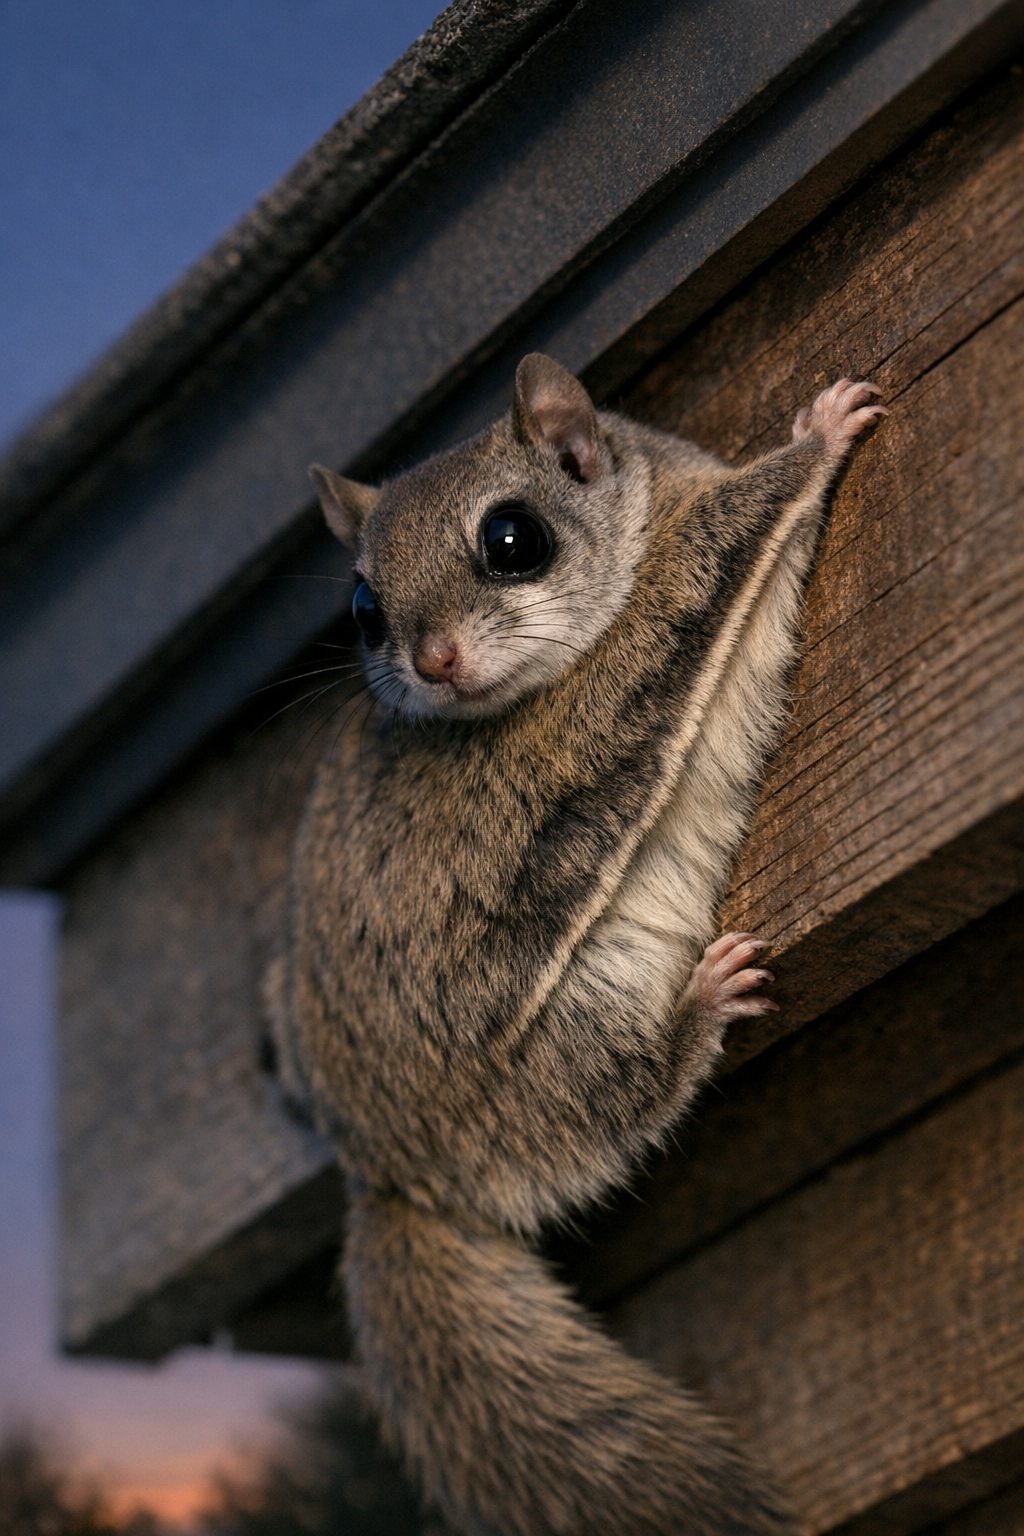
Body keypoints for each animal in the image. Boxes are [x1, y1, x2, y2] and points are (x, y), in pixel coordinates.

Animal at [272, 354, 886, 1536]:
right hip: (567, 1048)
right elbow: (739, 527)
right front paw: (820, 434)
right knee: (621, 1099)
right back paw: (698, 1013)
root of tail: (393, 1176)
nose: (432, 659)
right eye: (365, 609)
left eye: (513, 539)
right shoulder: (669, 608)